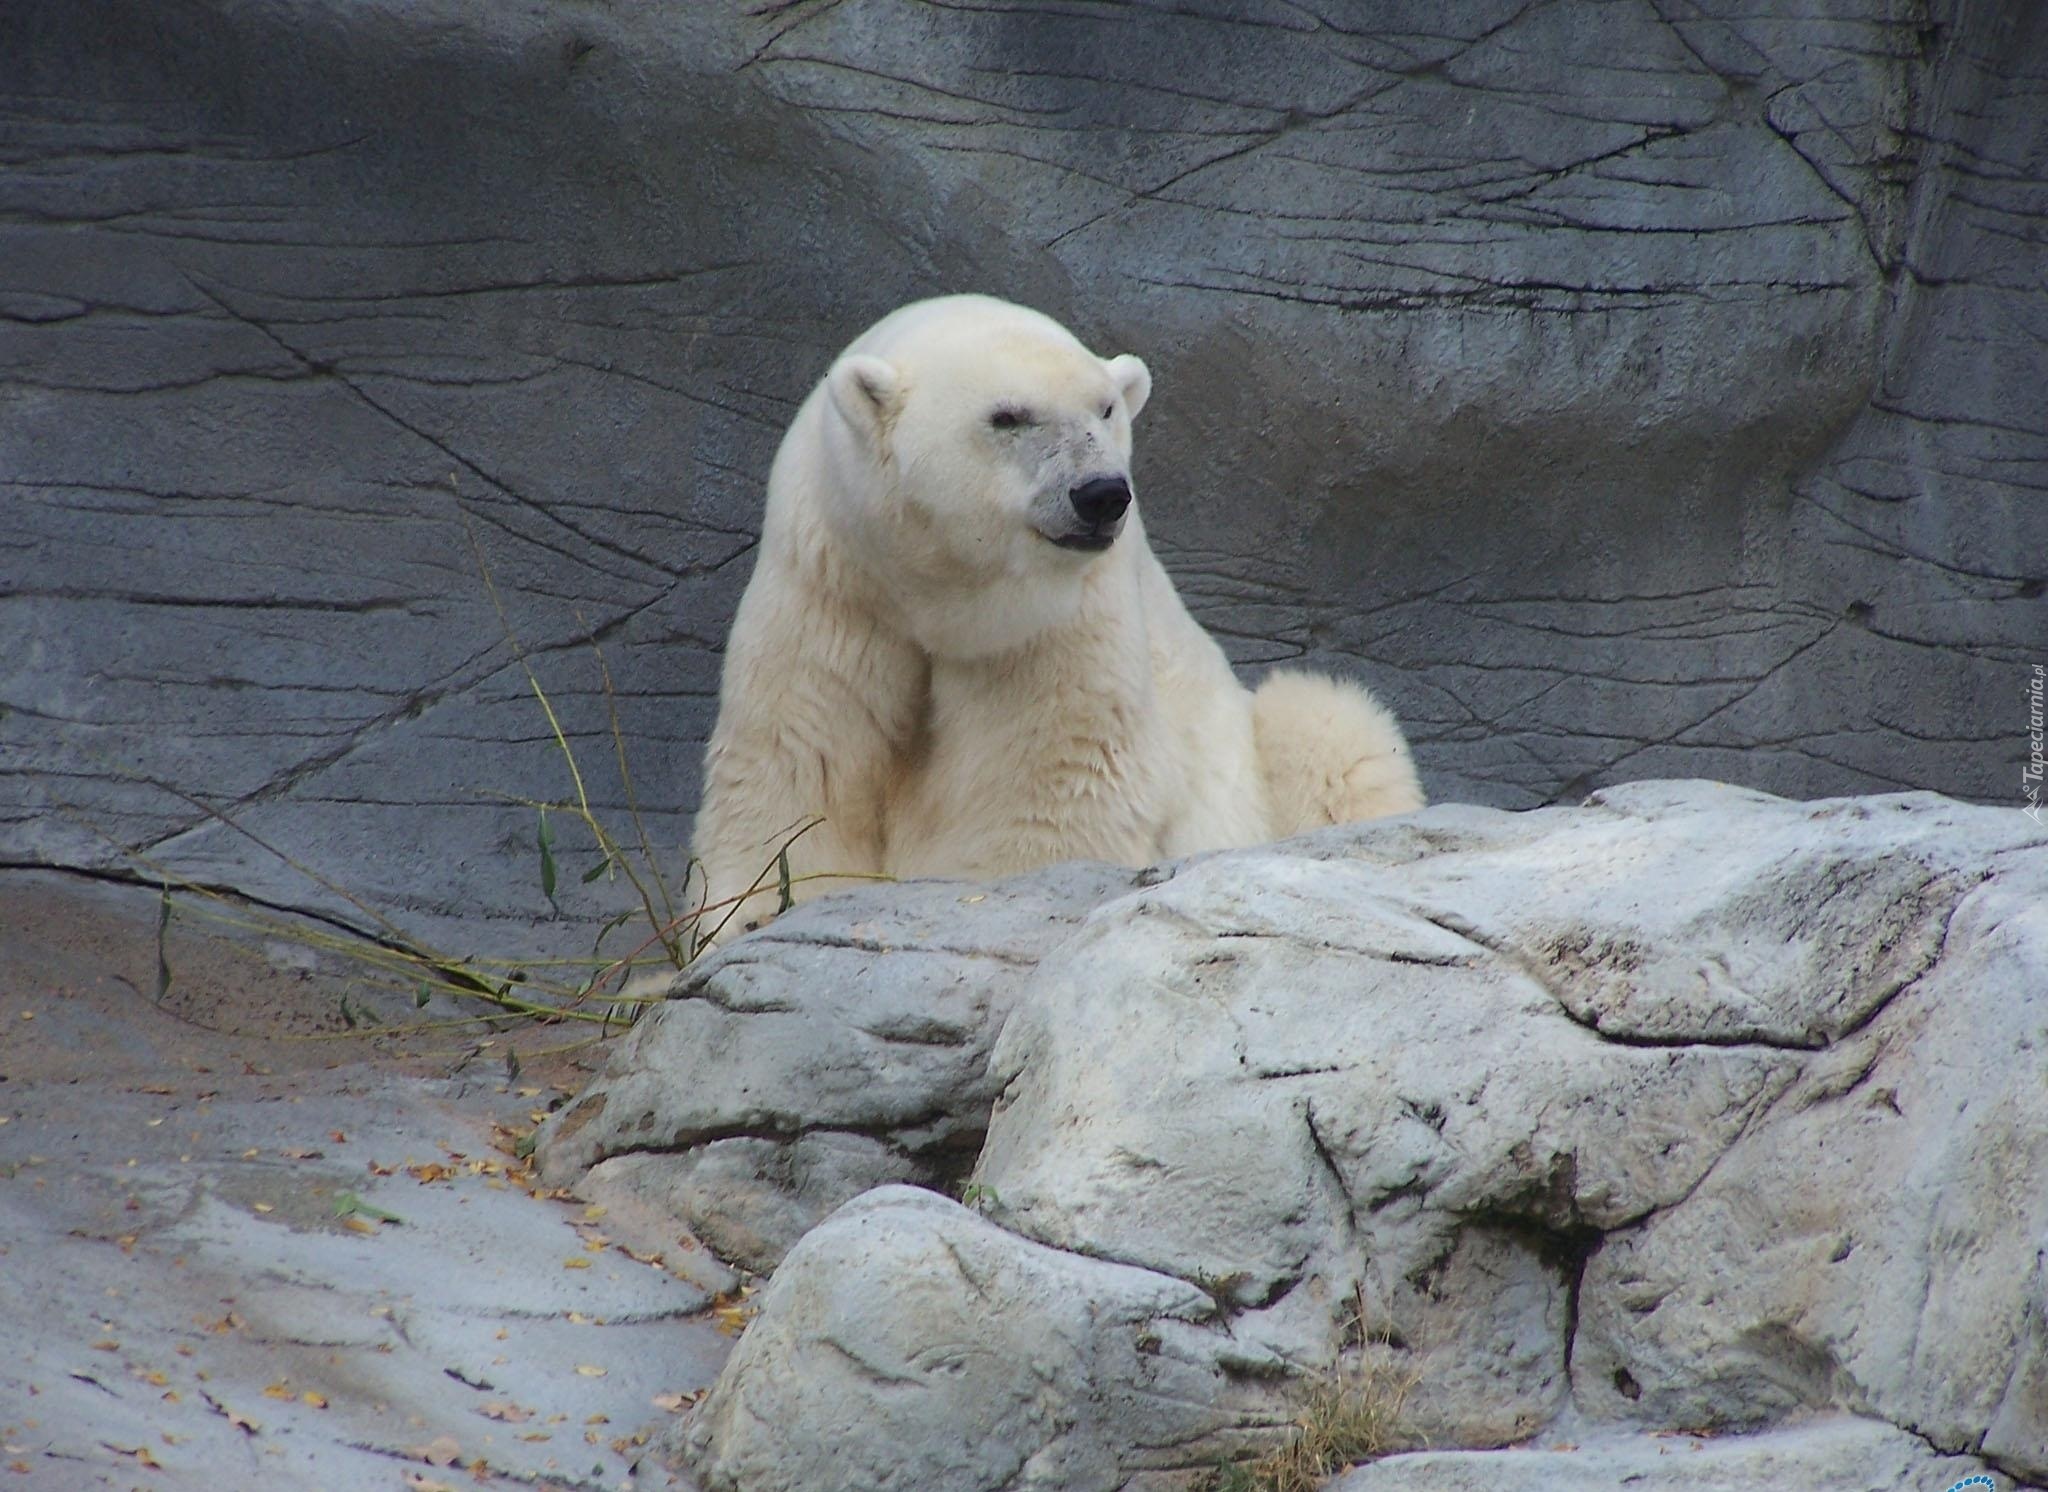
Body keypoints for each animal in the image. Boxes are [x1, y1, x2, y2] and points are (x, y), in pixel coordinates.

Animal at [688, 294, 1425, 937]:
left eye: (1105, 408)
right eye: (1008, 416)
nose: (1101, 494)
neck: (938, 594)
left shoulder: (1059, 621)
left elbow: (1051, 777)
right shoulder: (833, 586)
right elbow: (797, 760)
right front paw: (755, 909)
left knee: (1330, 726)